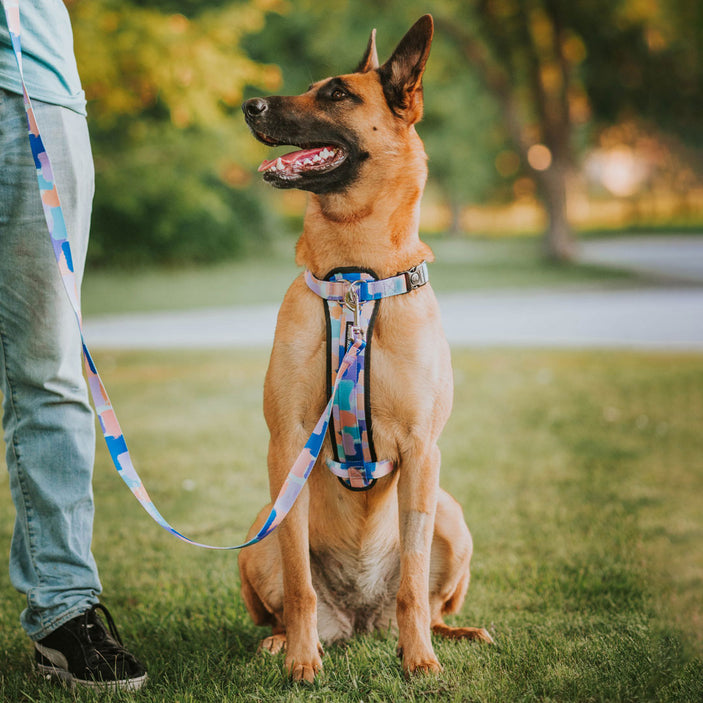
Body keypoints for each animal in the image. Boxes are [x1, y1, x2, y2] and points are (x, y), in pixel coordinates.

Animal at [239, 12, 492, 680]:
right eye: (311, 85)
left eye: (336, 94)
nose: (249, 105)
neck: (353, 274)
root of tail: (358, 620)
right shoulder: (286, 448)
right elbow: (300, 585)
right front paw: (301, 661)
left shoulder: (423, 453)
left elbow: (412, 585)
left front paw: (420, 660)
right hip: (262, 528)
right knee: (285, 600)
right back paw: (282, 642)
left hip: (450, 515)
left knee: (423, 598)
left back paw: (445, 635)